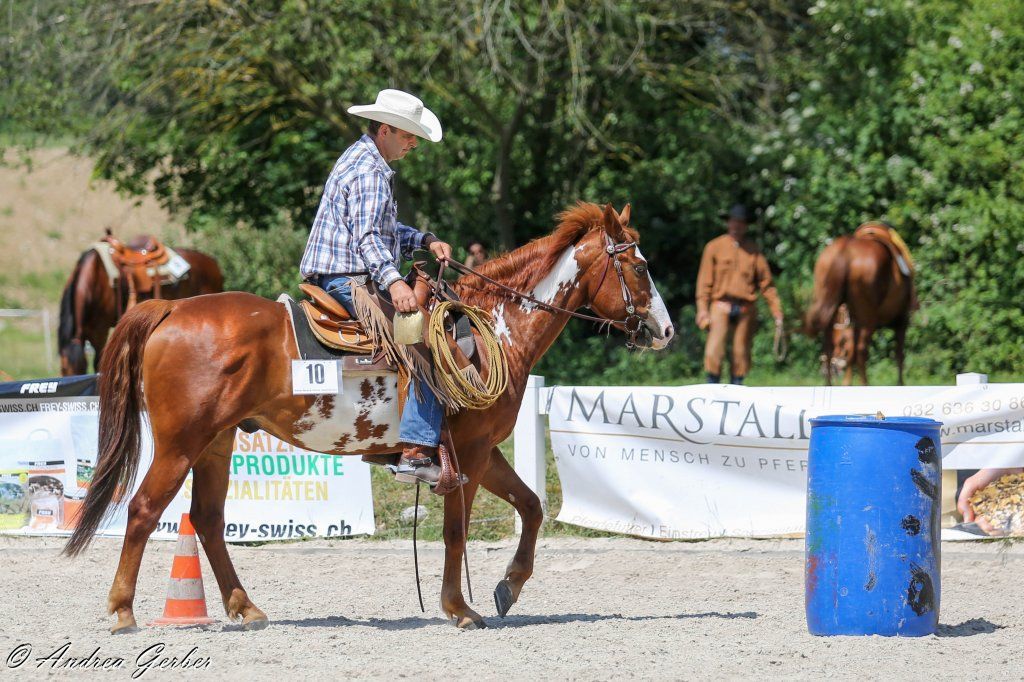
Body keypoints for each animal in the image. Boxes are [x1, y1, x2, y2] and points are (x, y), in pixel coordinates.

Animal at [58, 242, 224, 375]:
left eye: (80, 369)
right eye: (63, 369)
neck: (96, 277)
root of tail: (213, 263)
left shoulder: (100, 331)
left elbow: (98, 363)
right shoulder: (88, 331)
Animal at [803, 227, 915, 385]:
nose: (822, 371)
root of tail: (845, 251)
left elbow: (851, 355)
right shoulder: (901, 319)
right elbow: (899, 354)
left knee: (831, 347)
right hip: (869, 319)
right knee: (862, 350)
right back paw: (865, 384)